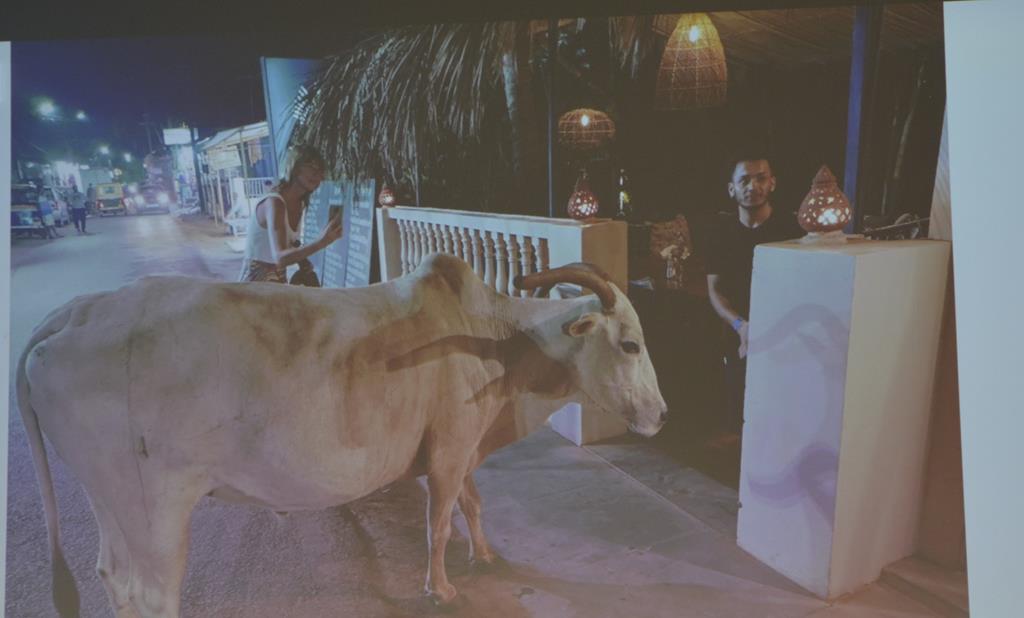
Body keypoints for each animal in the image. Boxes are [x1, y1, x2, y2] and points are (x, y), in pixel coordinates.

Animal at [17, 253, 667, 618]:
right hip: (157, 510)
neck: (496, 338)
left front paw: (484, 556)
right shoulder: (450, 450)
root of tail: (74, 312)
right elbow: (438, 524)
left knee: (114, 579)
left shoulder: (462, 449)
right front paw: (441, 590)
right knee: (153, 594)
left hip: (113, 500)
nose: (662, 417)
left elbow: (473, 505)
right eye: (630, 343)